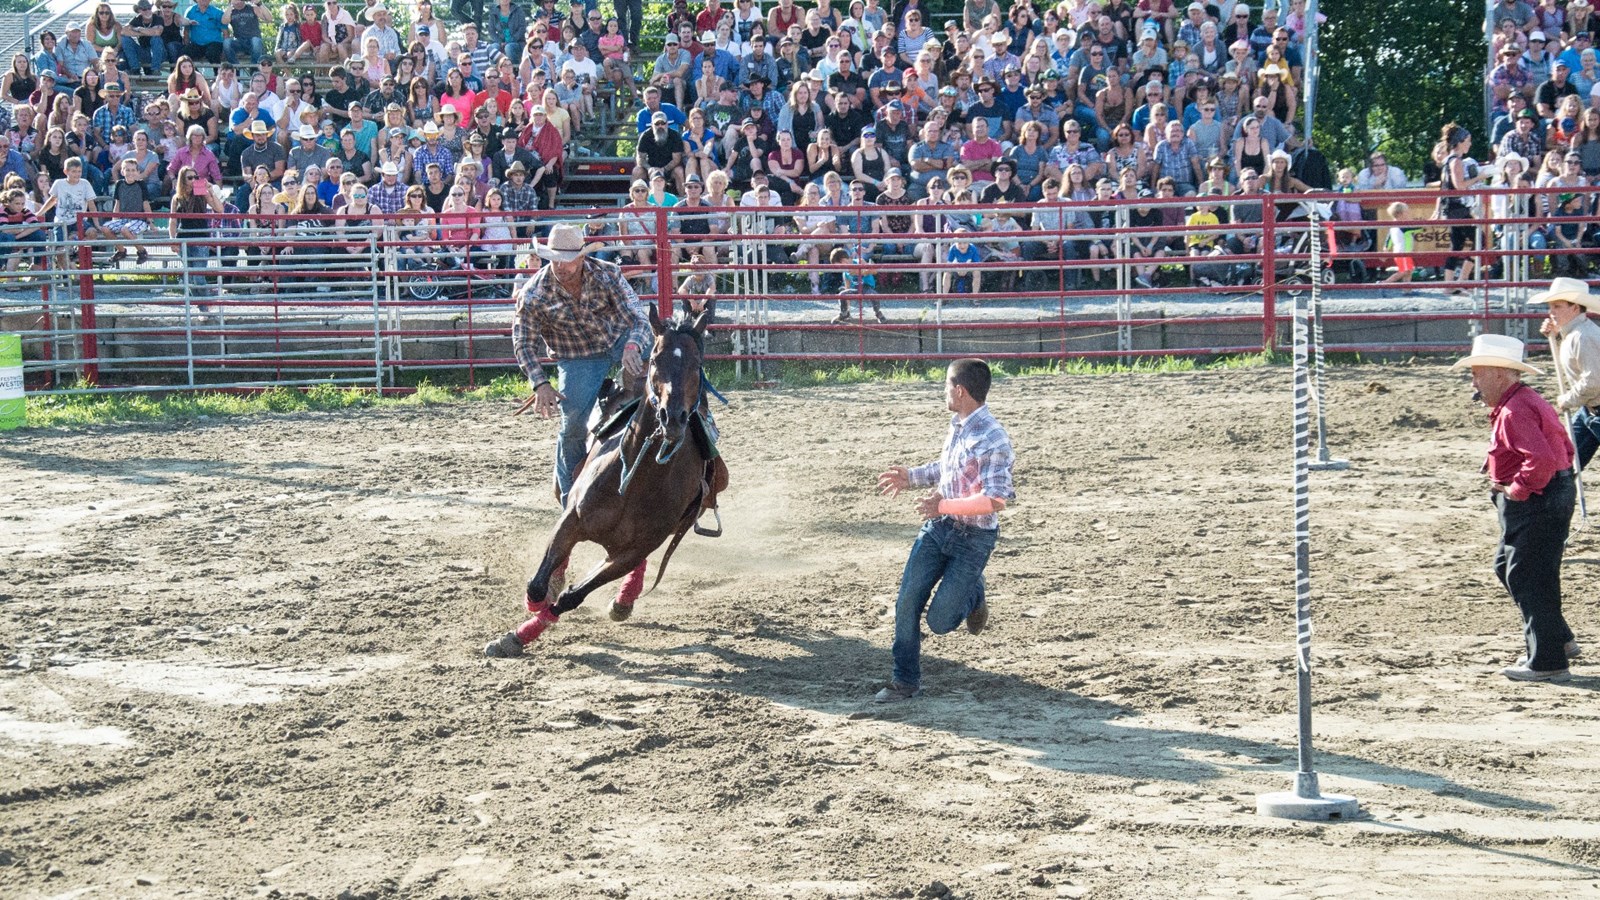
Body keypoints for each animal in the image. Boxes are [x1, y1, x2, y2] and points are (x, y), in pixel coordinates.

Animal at [483, 301, 719, 658]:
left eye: (698, 364)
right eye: (655, 359)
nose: (672, 417)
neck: (635, 479)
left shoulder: (630, 553)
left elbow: (573, 597)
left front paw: (524, 632)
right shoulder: (572, 519)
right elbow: (537, 584)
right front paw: (530, 614)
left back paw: (624, 599)